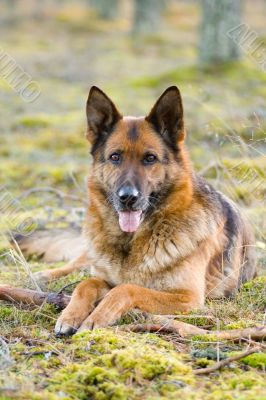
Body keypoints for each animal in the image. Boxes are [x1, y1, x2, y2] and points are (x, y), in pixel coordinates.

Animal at [16, 86, 256, 334]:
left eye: (150, 158)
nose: (127, 198)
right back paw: (44, 275)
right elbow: (86, 283)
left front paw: (96, 318)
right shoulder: (104, 277)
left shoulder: (187, 297)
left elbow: (126, 289)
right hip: (92, 253)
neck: (131, 242)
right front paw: (70, 315)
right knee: (78, 263)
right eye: (115, 157)